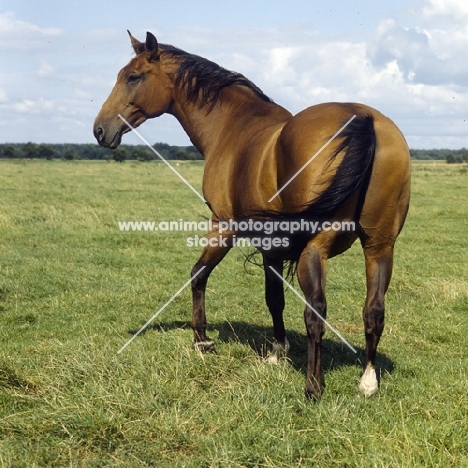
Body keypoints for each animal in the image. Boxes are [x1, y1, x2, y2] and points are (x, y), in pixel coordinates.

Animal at [94, 32, 410, 398]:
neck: (233, 126)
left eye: (133, 77)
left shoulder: (224, 227)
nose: (99, 130)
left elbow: (200, 275)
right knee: (374, 310)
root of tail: (362, 118)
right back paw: (368, 380)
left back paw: (313, 386)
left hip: (315, 249)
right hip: (379, 246)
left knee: (316, 310)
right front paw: (277, 351)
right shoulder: (272, 245)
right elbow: (274, 298)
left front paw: (203, 340)